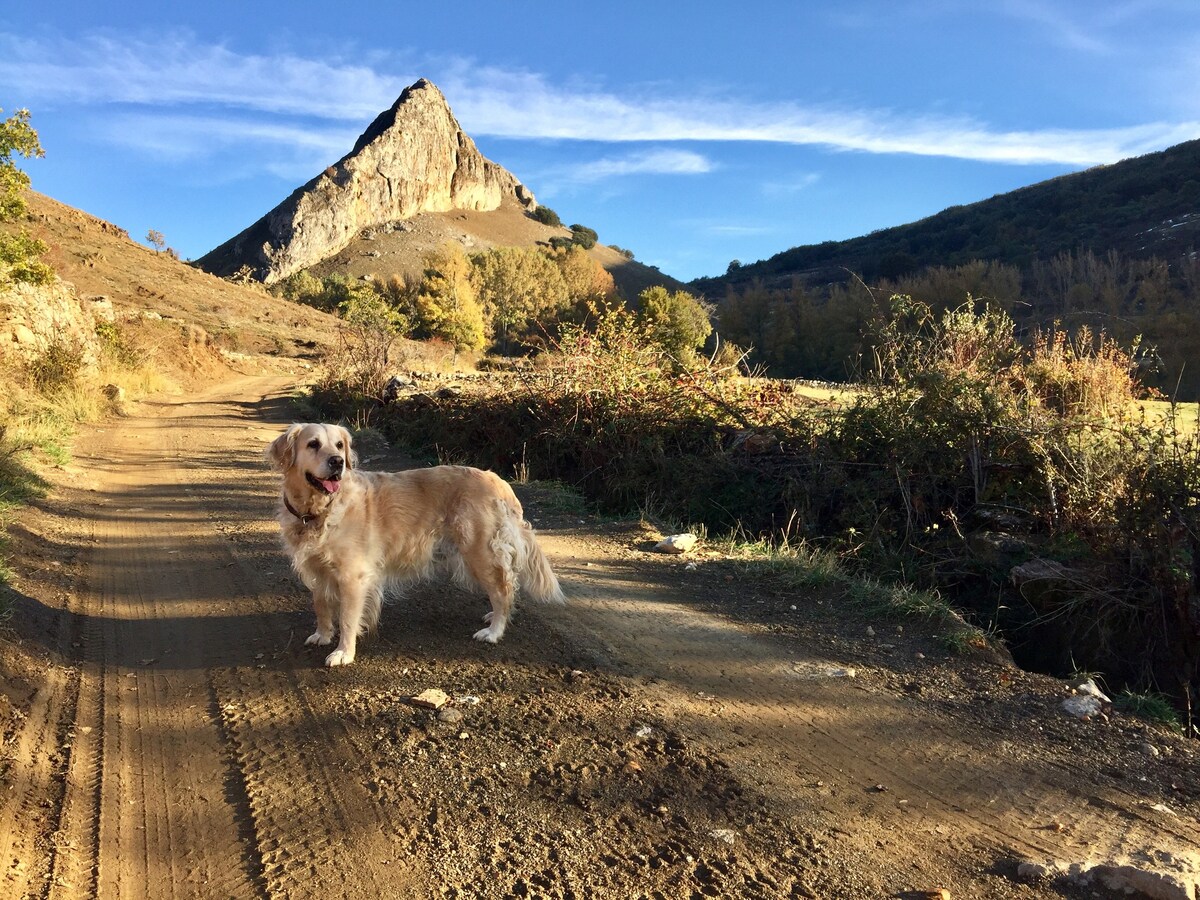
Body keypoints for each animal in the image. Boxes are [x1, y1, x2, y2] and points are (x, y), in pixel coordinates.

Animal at [266, 424, 561, 672]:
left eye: (339, 445)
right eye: (313, 444)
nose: (338, 462)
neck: (319, 510)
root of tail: (498, 481)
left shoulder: (353, 577)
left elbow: (348, 618)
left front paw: (343, 653)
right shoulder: (317, 570)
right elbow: (321, 605)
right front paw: (323, 634)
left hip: (479, 552)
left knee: (503, 590)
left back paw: (494, 631)